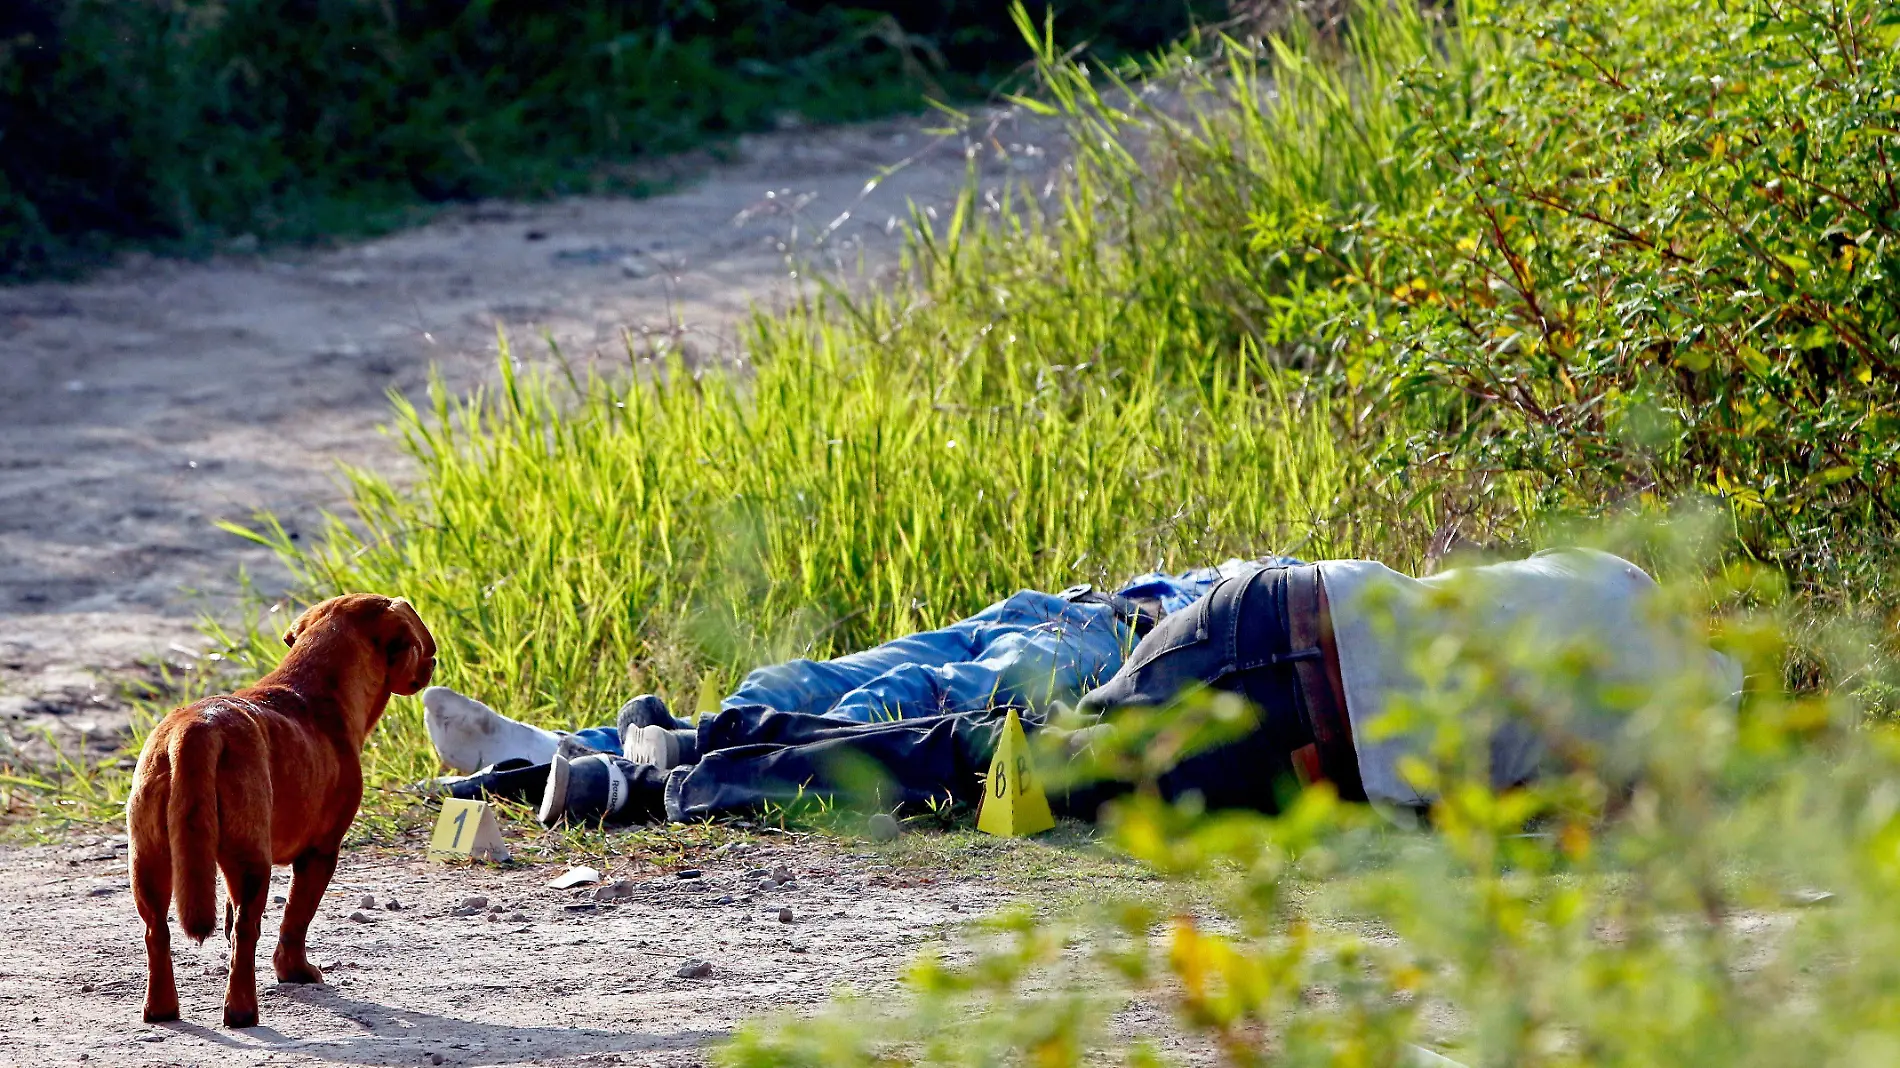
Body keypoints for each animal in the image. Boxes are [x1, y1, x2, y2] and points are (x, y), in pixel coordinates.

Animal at [128, 589, 433, 1026]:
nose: (434, 663)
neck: (311, 689)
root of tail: (195, 730)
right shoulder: (321, 852)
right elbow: (296, 917)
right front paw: (295, 971)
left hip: (149, 859)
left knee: (158, 931)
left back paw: (160, 1009)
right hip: (251, 862)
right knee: (246, 932)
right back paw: (241, 1011)